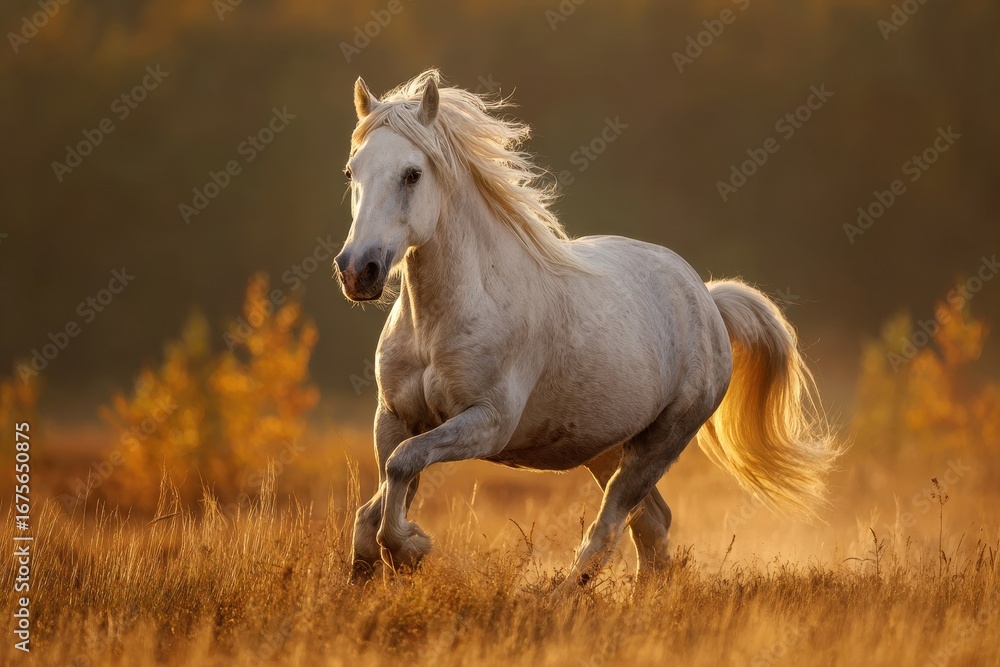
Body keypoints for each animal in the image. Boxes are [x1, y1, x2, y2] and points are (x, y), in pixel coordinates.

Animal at [335, 70, 838, 589]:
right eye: (352, 172)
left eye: (412, 173)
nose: (358, 271)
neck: (438, 326)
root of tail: (707, 300)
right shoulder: (395, 417)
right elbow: (378, 499)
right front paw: (368, 570)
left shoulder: (487, 422)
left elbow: (401, 467)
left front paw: (410, 550)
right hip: (607, 448)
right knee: (652, 525)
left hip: (660, 444)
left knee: (608, 528)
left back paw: (557, 595)